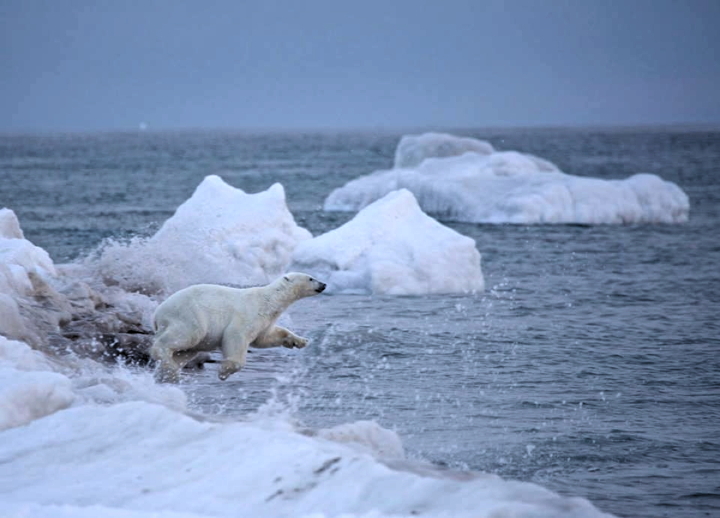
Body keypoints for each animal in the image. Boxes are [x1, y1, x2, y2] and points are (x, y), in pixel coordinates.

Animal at [149, 272, 326, 382]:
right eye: (311, 278)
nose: (324, 284)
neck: (268, 300)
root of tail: (157, 314)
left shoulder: (265, 320)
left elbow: (266, 337)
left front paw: (300, 341)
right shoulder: (248, 313)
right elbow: (236, 335)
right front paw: (224, 371)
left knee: (186, 351)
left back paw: (167, 372)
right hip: (189, 315)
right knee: (186, 335)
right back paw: (168, 364)